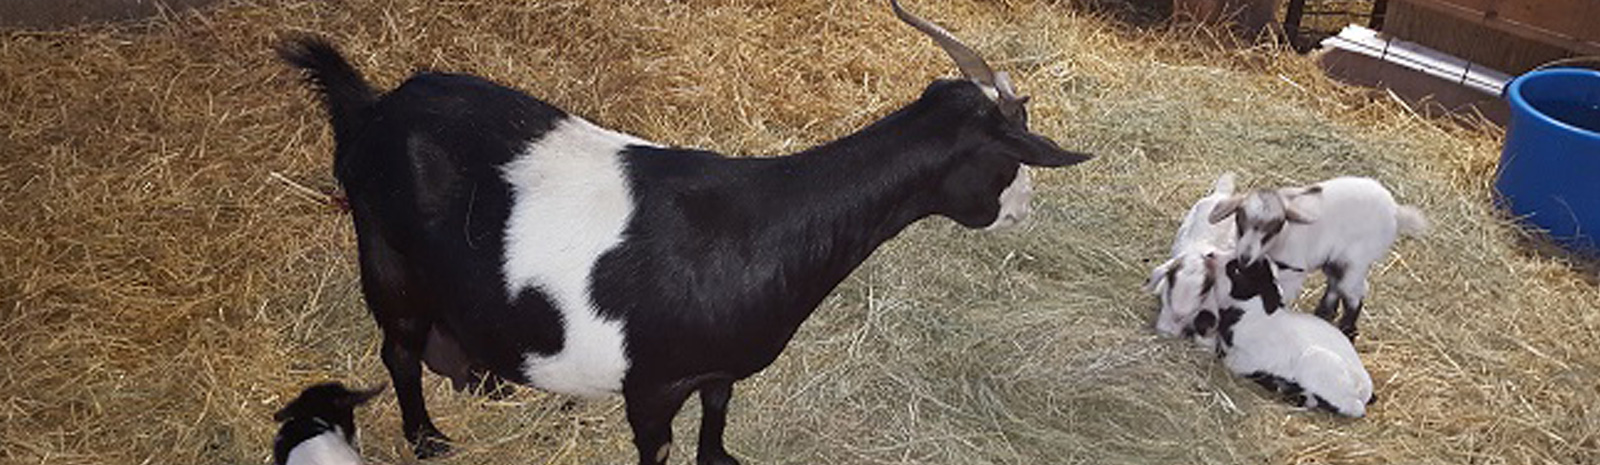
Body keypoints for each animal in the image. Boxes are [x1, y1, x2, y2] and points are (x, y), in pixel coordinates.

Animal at [278, 1, 1088, 463]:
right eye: (1008, 157)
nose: (1024, 207)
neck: (757, 225)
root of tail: (372, 110)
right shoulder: (653, 384)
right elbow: (658, 446)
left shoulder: (718, 365)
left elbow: (720, 412)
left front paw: (721, 459)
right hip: (389, 261)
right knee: (399, 350)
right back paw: (427, 438)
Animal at [1190, 258, 1376, 418]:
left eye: (1237, 271)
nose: (1211, 259)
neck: (1252, 316)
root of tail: (1365, 389)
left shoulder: (1245, 361)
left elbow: (1224, 358)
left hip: (1318, 366)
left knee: (1348, 407)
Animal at [1203, 176, 1433, 340]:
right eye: (1240, 222)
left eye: (1273, 230)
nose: (1244, 257)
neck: (1282, 239)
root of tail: (1396, 212)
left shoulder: (1292, 274)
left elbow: (1280, 297)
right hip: (1334, 260)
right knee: (1335, 285)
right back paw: (1323, 314)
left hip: (1356, 262)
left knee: (1354, 294)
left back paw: (1347, 331)